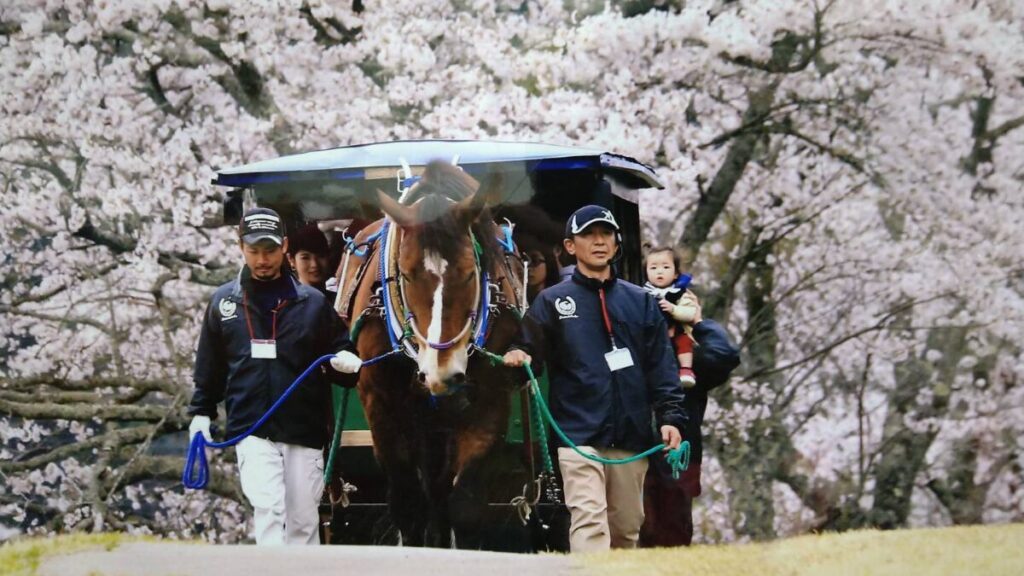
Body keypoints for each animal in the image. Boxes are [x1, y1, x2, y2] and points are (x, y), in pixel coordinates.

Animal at [335, 161, 528, 548]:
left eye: (469, 274)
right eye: (407, 275)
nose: (442, 374)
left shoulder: (490, 402)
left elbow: (465, 505)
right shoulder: (381, 404)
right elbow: (408, 504)